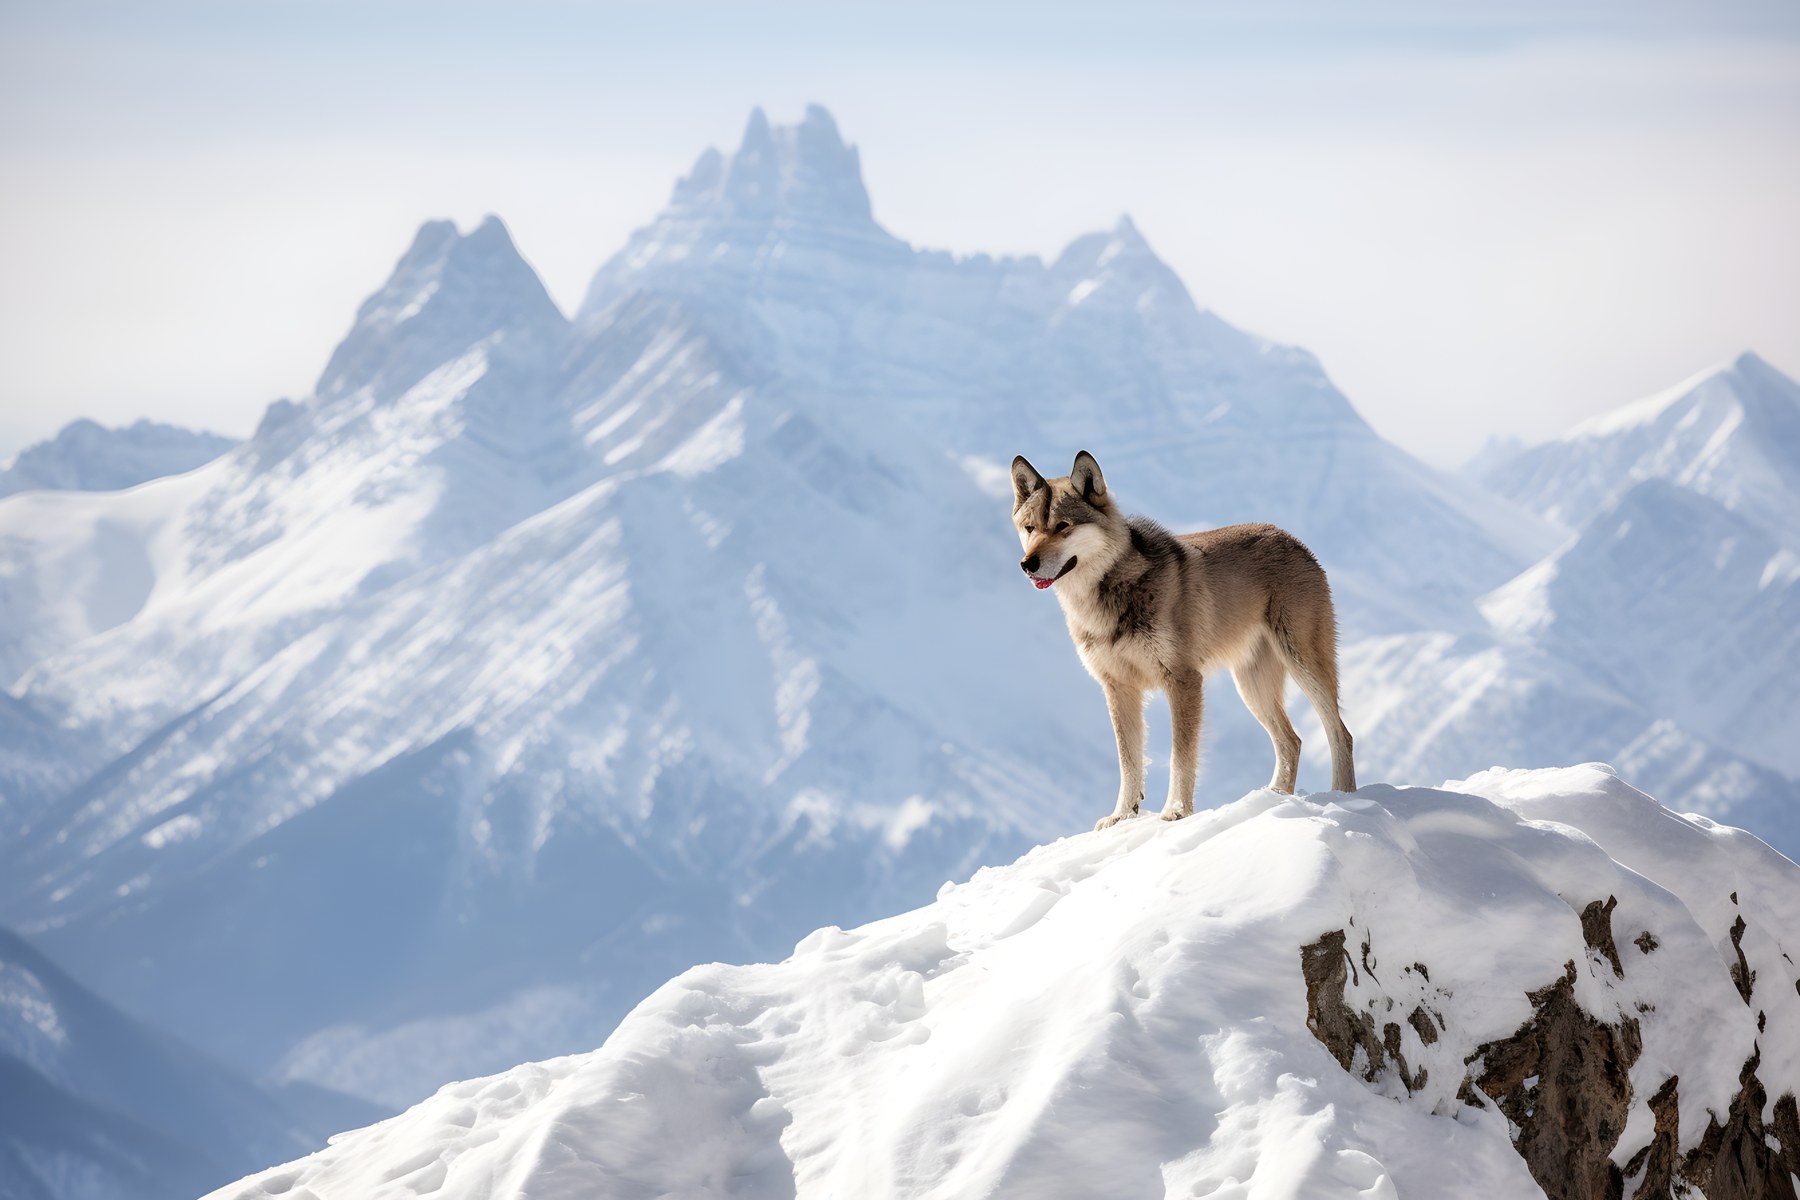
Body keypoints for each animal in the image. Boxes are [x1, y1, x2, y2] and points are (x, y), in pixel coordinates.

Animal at [1011, 450, 1356, 830]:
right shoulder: (1118, 688)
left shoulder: (1183, 680)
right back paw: (1273, 801)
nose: (1028, 564)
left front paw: (1176, 812)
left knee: (1340, 733)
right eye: (1030, 528)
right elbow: (1129, 763)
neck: (1109, 596)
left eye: (1063, 526)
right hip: (1252, 687)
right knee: (1291, 741)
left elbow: (1181, 756)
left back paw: (1342, 797)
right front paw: (1121, 817)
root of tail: (1292, 538)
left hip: (1303, 665)